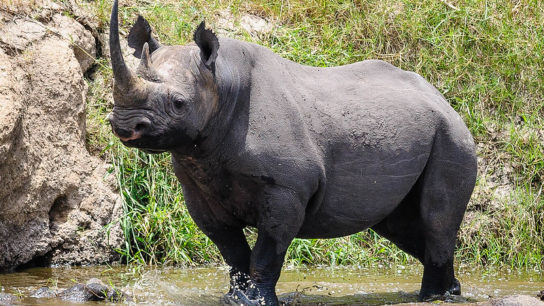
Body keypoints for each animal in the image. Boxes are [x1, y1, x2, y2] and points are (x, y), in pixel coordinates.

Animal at [107, 1, 476, 304]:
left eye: (179, 103)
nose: (125, 125)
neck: (221, 83)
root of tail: (441, 97)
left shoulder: (287, 187)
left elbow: (268, 249)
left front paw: (257, 300)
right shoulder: (198, 189)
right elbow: (231, 250)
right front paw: (236, 298)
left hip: (451, 135)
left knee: (436, 218)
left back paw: (433, 297)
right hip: (420, 128)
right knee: (401, 226)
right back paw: (449, 291)